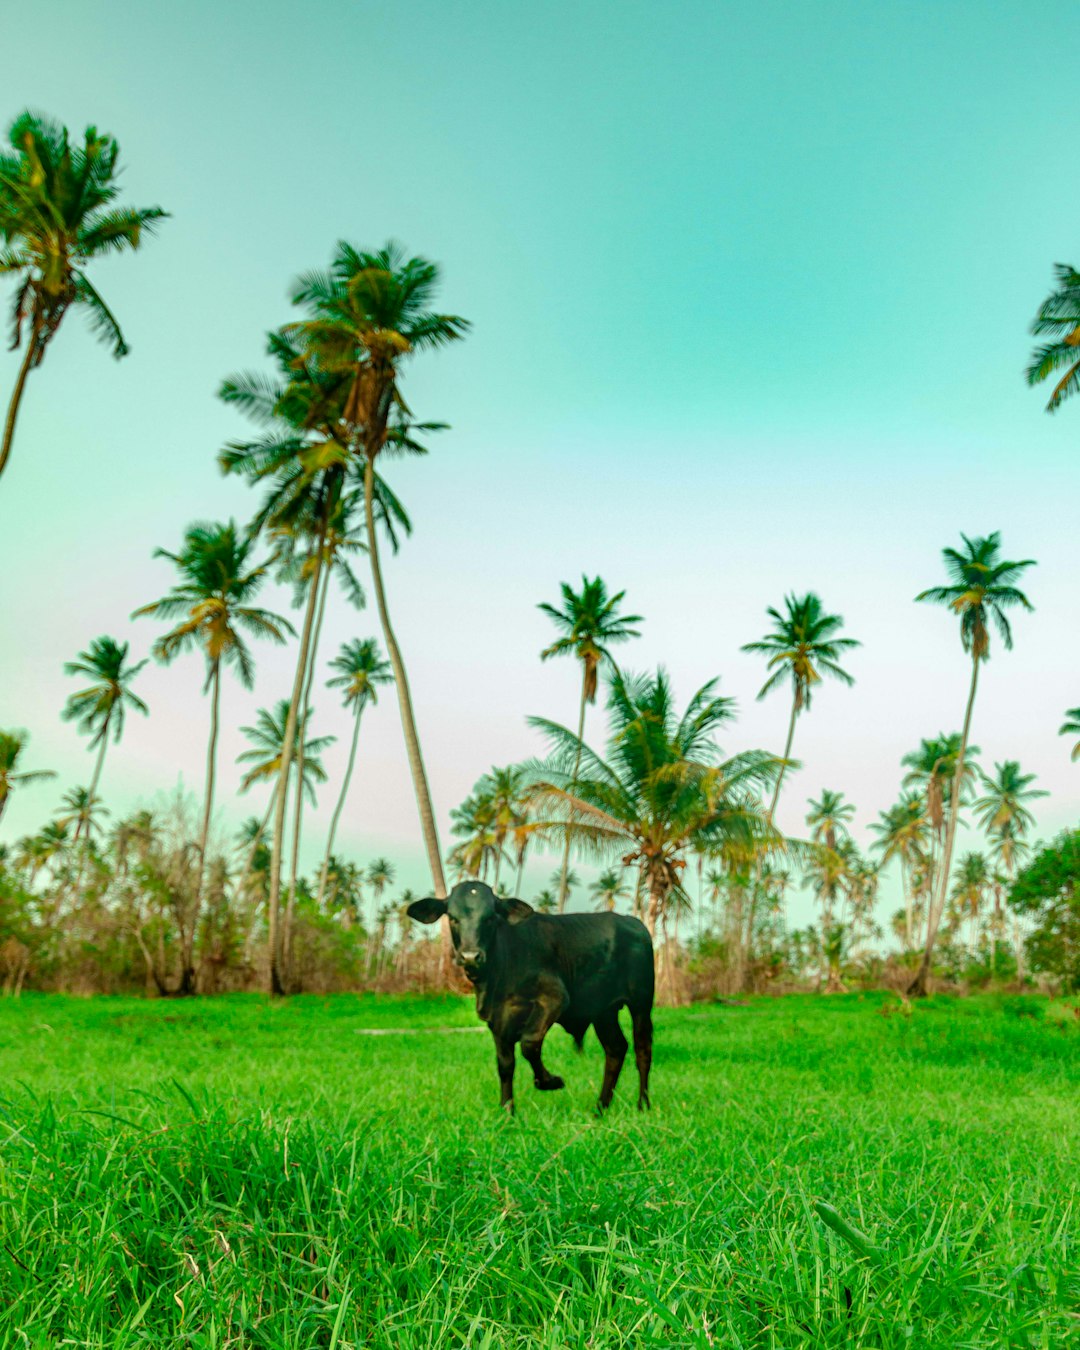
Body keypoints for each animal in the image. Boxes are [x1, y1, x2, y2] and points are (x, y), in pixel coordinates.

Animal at [410, 880, 653, 1112]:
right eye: (453, 918)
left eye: (490, 918)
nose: (471, 956)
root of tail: (633, 922)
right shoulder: (497, 1019)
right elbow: (505, 1065)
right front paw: (507, 1111)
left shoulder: (554, 998)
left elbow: (529, 1043)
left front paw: (550, 1081)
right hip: (603, 1011)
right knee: (616, 1049)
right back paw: (600, 1108)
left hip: (641, 1003)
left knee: (642, 1049)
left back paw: (643, 1105)